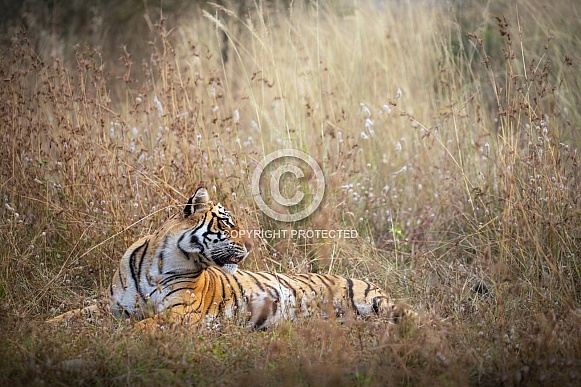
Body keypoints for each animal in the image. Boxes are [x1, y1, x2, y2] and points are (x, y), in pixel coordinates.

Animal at [47, 188, 414, 330]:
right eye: (228, 223)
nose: (252, 244)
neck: (157, 266)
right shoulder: (114, 306)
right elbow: (71, 315)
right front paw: (38, 328)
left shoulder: (183, 312)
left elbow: (146, 325)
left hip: (371, 302)